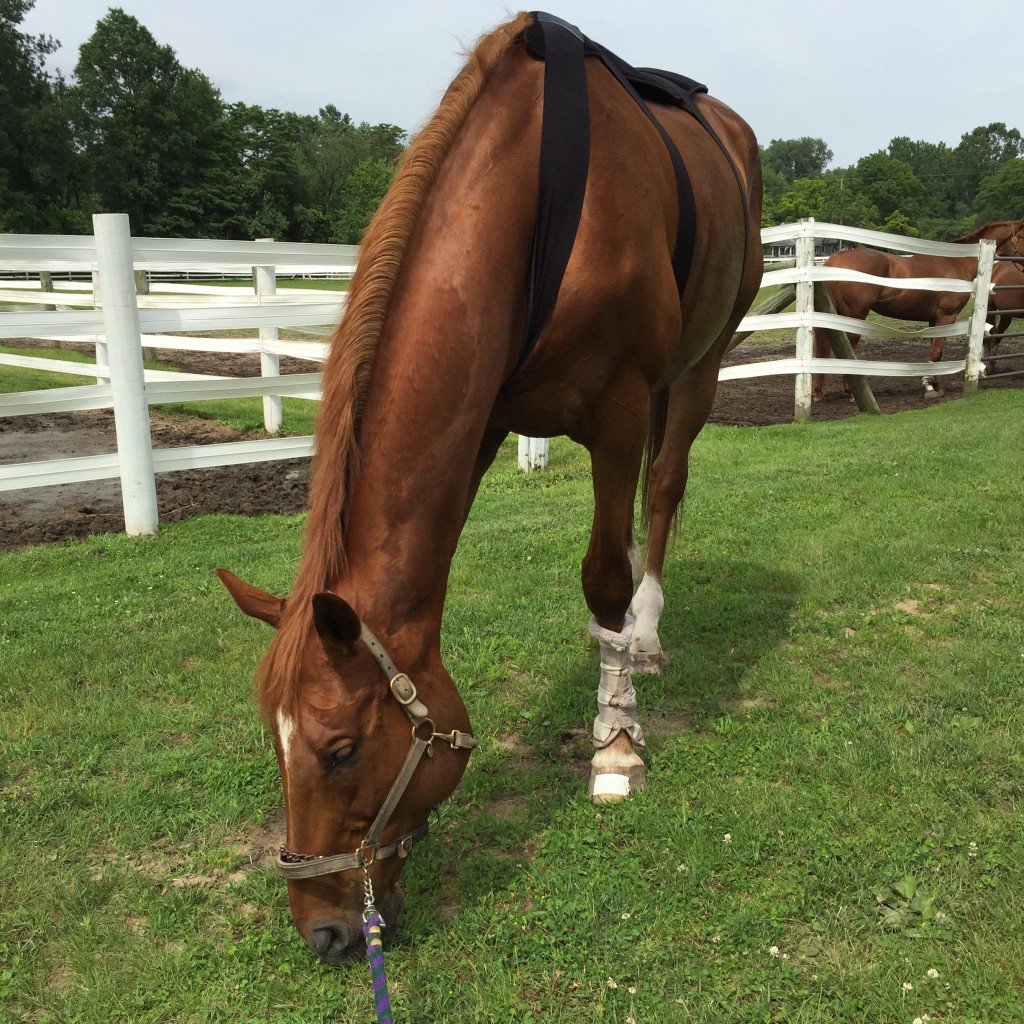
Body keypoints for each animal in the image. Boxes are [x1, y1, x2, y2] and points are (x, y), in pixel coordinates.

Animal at [214, 12, 761, 962]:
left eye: (341, 749)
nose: (324, 931)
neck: (537, 196)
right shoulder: (483, 416)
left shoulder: (620, 410)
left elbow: (604, 573)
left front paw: (615, 743)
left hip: (699, 366)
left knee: (662, 494)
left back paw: (645, 636)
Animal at [815, 217, 1024, 399]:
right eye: (1023, 236)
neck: (955, 262)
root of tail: (835, 259)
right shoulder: (947, 316)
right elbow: (937, 352)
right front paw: (930, 388)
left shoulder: (934, 319)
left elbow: (935, 352)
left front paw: (933, 383)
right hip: (855, 316)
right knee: (847, 350)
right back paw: (851, 391)